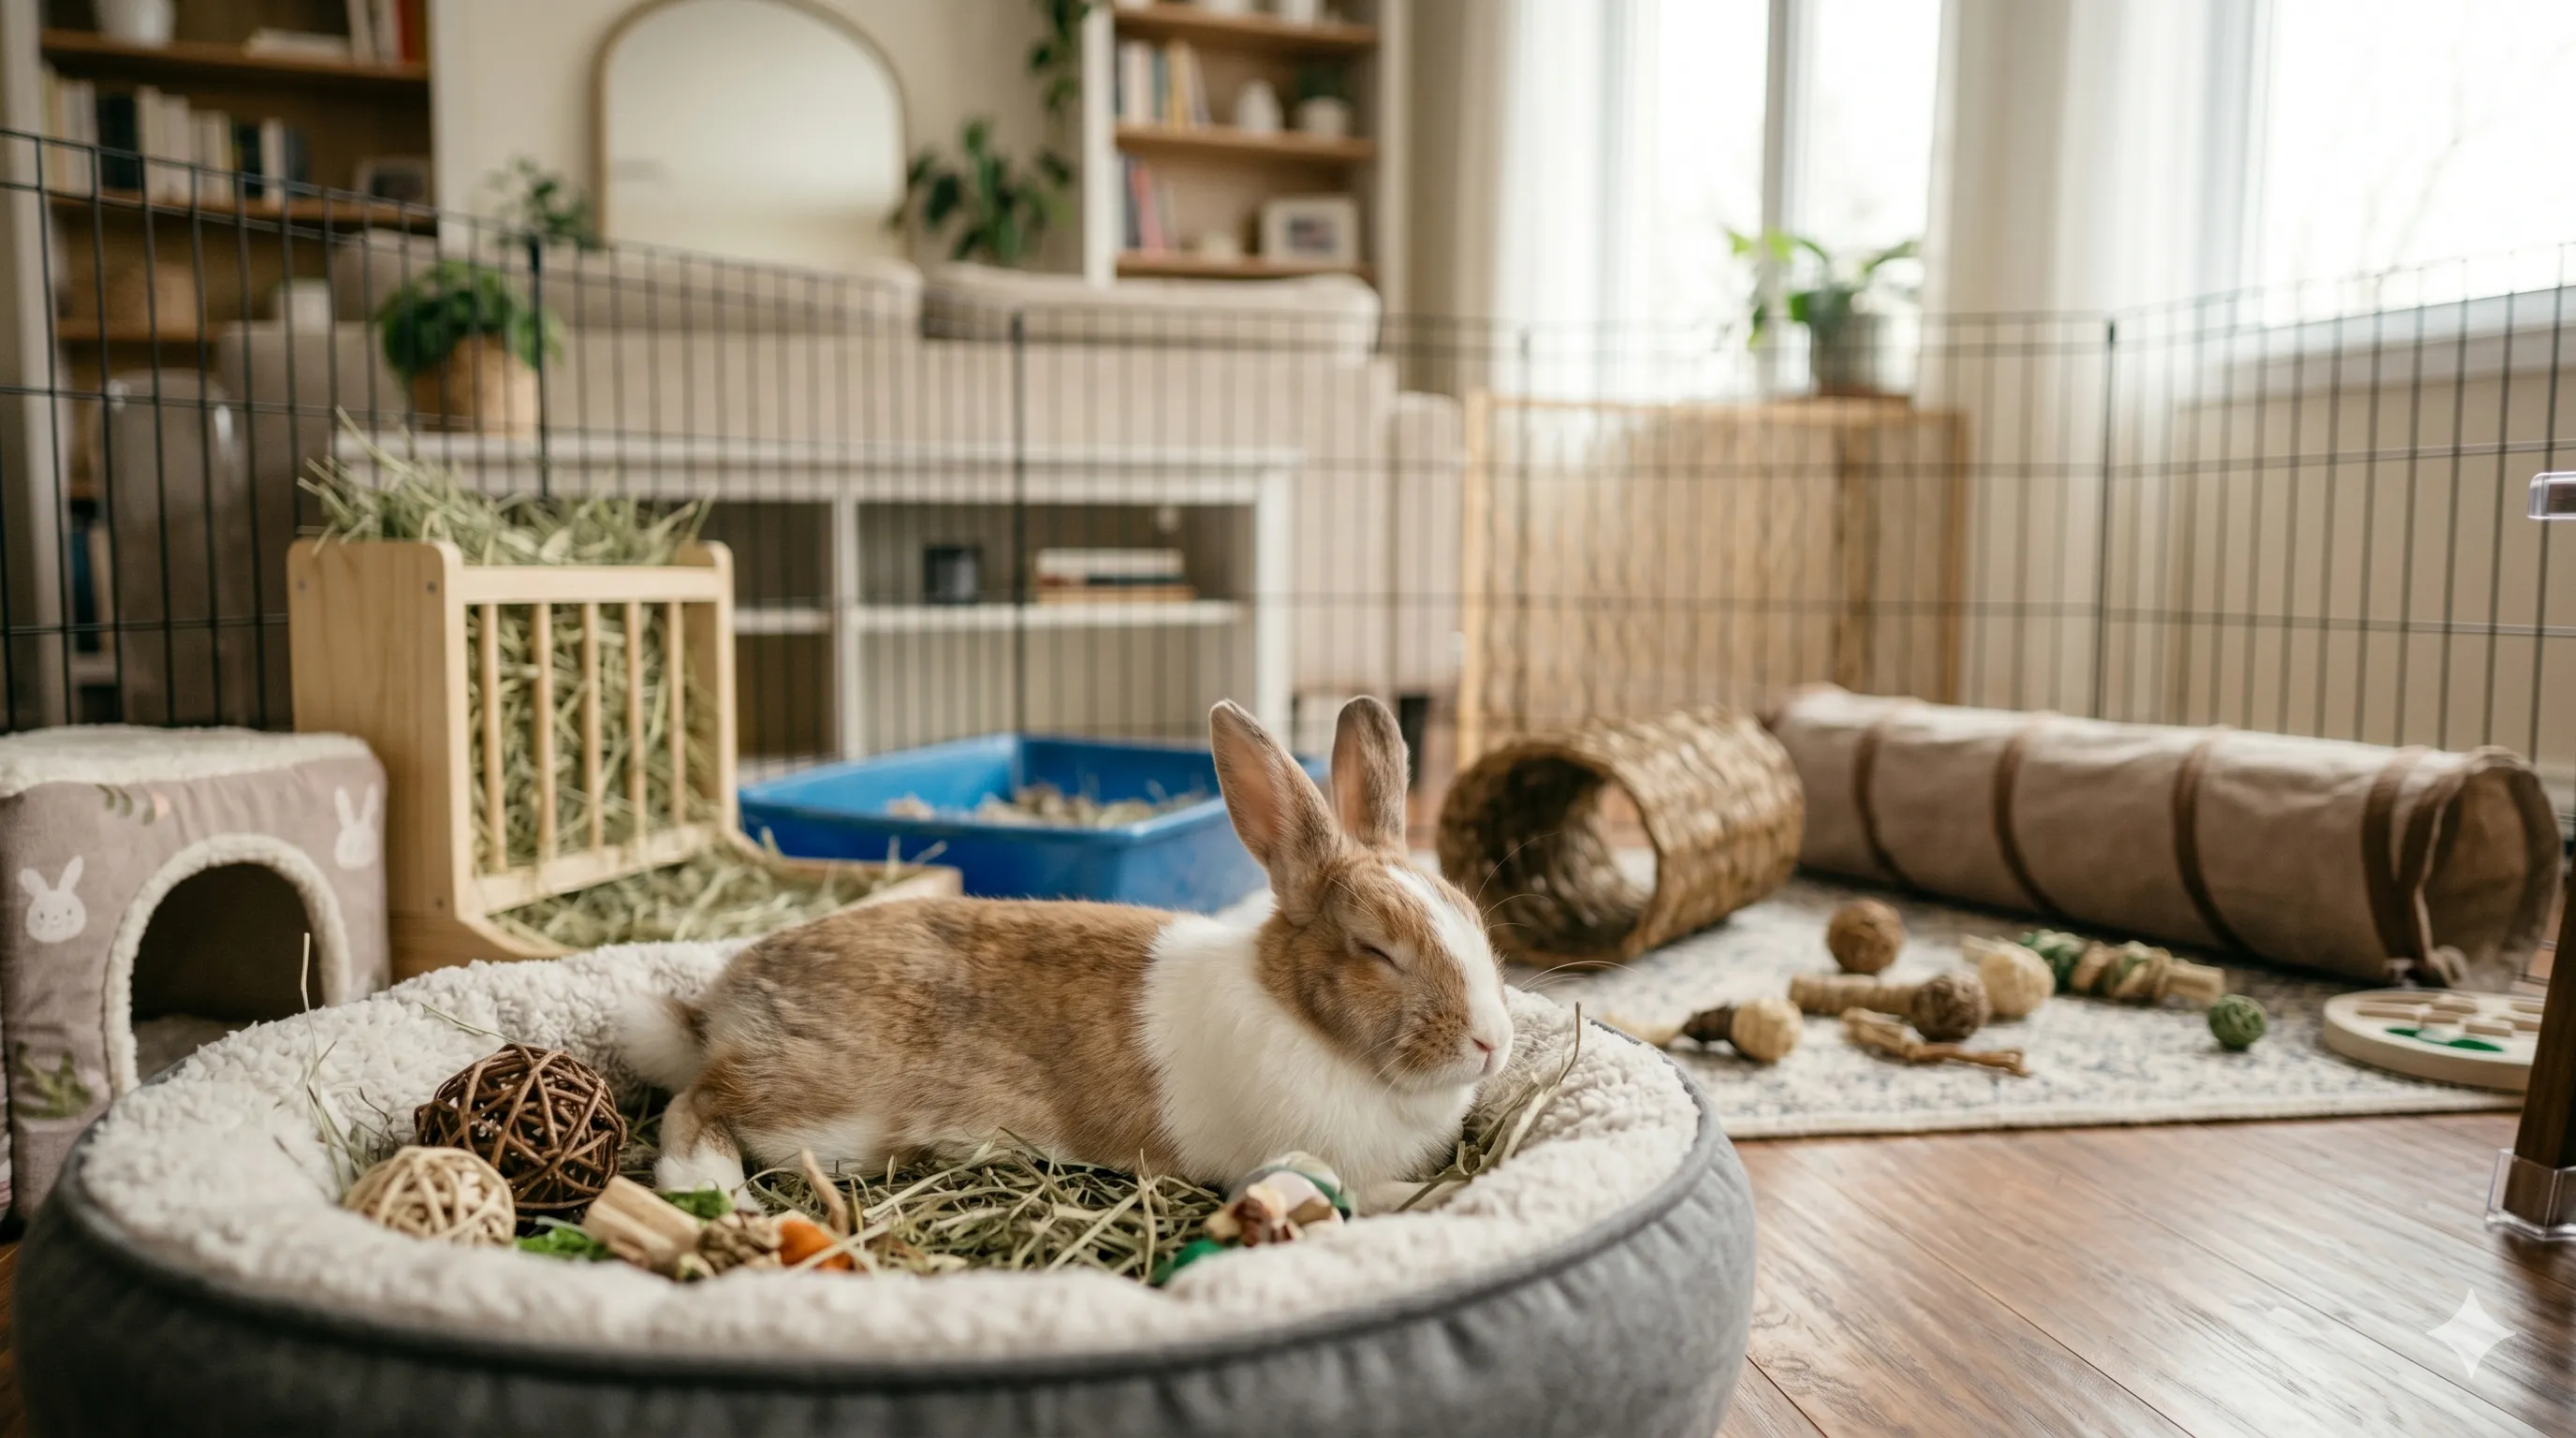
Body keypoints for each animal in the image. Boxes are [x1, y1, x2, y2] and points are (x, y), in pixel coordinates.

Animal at [623, 696, 1514, 1210]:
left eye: (1473, 919)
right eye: (1376, 950)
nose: (1492, 1044)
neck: (1306, 1022)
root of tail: (723, 1005)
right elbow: (1388, 1193)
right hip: (820, 1107)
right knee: (693, 1104)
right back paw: (711, 1192)